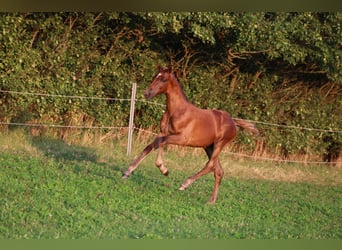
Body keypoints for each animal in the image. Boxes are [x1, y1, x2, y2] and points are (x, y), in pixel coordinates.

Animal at [121, 65, 258, 203]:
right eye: (155, 76)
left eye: (163, 79)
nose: (147, 93)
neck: (177, 111)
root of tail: (233, 121)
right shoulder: (162, 132)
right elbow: (151, 146)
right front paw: (127, 172)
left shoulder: (182, 138)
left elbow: (162, 142)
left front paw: (163, 169)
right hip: (208, 146)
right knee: (218, 170)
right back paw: (211, 201)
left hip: (219, 144)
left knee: (210, 165)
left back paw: (185, 184)